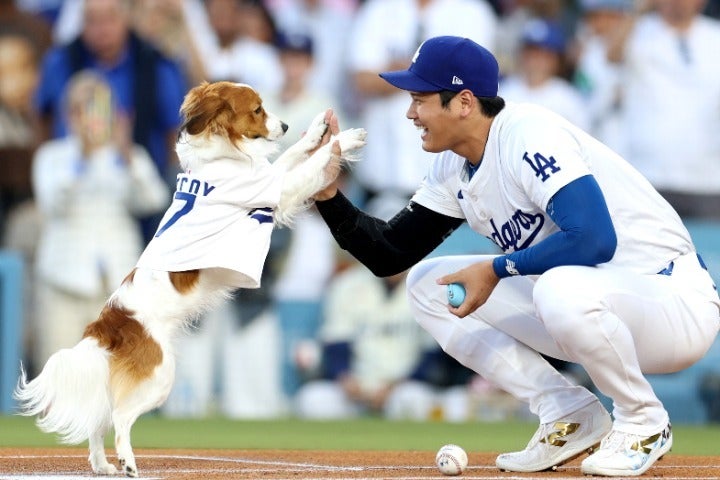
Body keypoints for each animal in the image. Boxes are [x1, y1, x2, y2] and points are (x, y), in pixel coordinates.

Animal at [13, 82, 366, 476]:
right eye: (258, 110)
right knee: (120, 417)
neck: (219, 155)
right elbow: (309, 166)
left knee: (99, 418)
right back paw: (127, 462)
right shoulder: (275, 188)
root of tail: (108, 324)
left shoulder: (267, 178)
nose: (287, 125)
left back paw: (102, 465)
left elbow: (291, 156)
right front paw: (345, 140)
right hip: (160, 377)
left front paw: (319, 131)